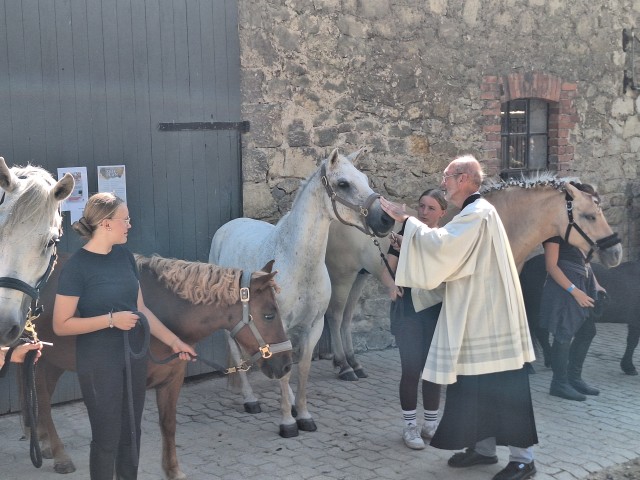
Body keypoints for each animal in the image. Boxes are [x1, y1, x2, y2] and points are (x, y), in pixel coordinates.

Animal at [28, 253, 292, 478]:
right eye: (269, 315)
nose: (286, 365)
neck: (160, 315)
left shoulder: (172, 379)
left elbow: (168, 424)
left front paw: (173, 470)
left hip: (53, 363)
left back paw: (44, 444)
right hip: (42, 361)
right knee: (43, 400)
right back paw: (60, 456)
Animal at [210, 146, 392, 436]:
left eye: (365, 178)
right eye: (343, 184)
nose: (385, 219)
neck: (298, 262)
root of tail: (227, 227)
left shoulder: (314, 325)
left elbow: (302, 369)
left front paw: (303, 414)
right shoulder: (280, 325)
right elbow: (285, 372)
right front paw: (287, 422)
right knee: (236, 350)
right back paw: (250, 400)